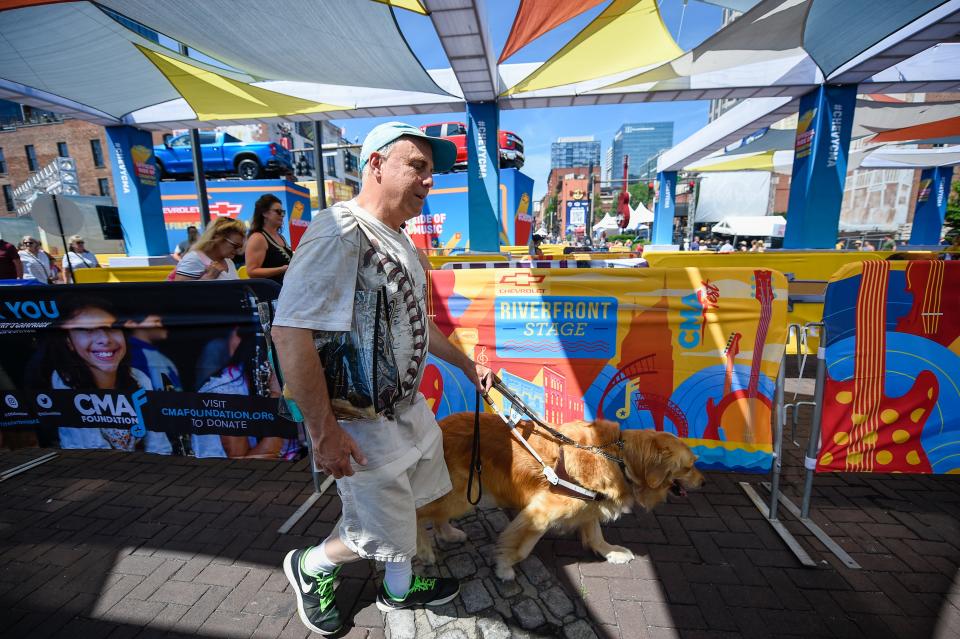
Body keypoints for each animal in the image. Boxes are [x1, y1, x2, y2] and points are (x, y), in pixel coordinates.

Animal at [418, 412, 704, 584]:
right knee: (419, 514)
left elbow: (596, 534)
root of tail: (440, 426)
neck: (619, 459)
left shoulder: (589, 504)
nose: (703, 481)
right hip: (462, 493)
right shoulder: (540, 512)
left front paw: (611, 552)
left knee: (436, 516)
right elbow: (522, 549)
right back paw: (423, 549)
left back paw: (449, 534)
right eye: (689, 467)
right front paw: (504, 566)